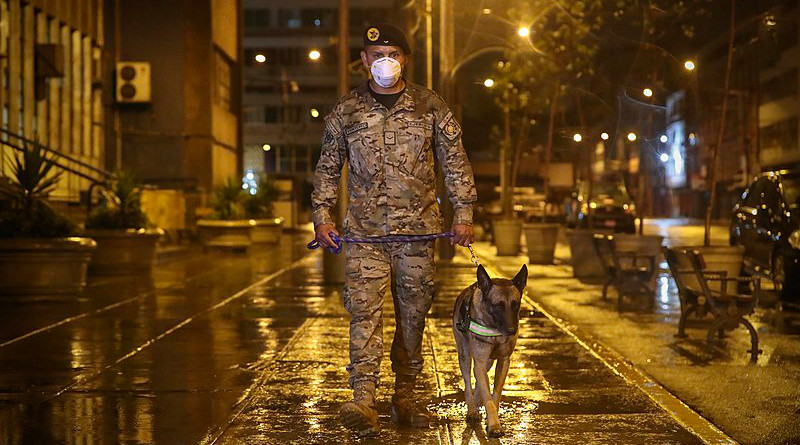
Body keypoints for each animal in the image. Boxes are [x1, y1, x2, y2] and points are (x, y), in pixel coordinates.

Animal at [454, 264, 528, 438]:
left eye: (515, 304)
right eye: (498, 305)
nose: (511, 331)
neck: (495, 328)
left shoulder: (503, 361)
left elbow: (496, 394)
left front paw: (492, 421)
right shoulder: (479, 360)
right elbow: (487, 396)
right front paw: (494, 425)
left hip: (487, 362)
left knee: (478, 380)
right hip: (465, 356)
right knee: (468, 382)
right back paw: (472, 410)